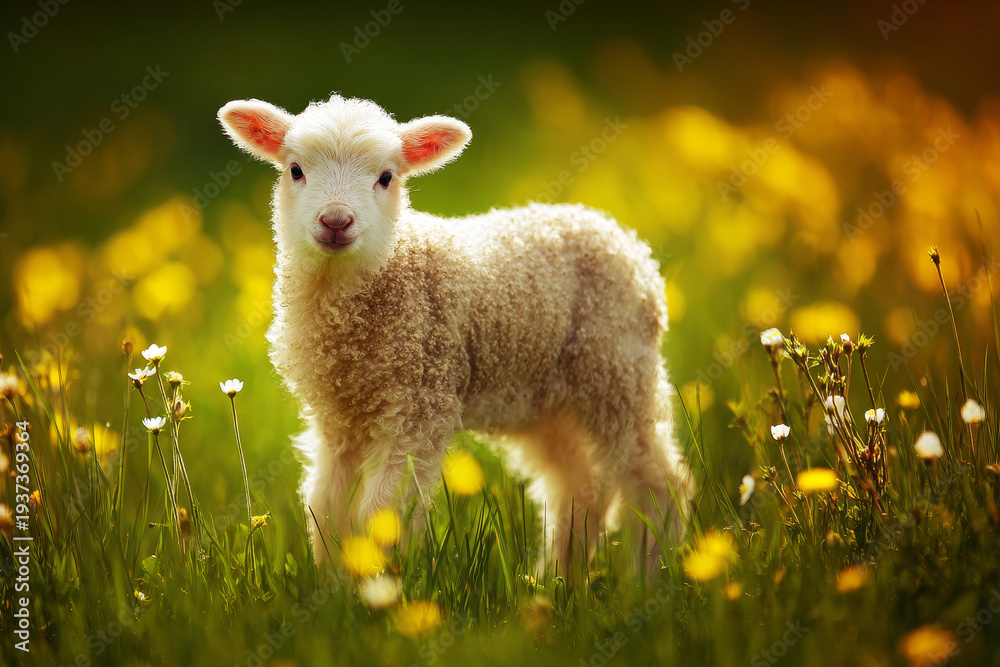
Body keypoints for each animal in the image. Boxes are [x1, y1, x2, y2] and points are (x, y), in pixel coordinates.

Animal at [218, 93, 692, 572]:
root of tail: (618, 233)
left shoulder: (420, 404)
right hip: (547, 401)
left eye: (386, 177)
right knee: (580, 488)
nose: (336, 221)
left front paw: (379, 583)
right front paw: (335, 584)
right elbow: (327, 509)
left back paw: (651, 572)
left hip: (618, 372)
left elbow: (381, 513)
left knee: (657, 481)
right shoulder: (336, 419)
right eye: (295, 170)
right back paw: (557, 579)